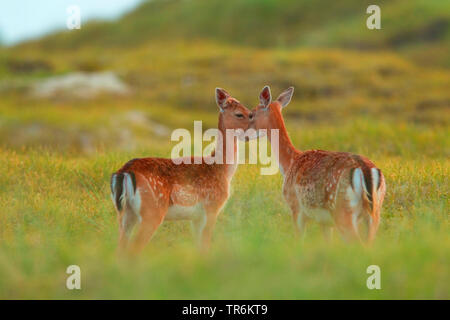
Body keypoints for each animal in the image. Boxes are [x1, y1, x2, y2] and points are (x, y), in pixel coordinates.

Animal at [111, 88, 253, 252]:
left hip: (125, 213)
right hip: (152, 211)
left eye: (250, 111)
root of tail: (124, 172)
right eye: (239, 114)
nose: (253, 132)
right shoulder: (211, 206)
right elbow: (205, 246)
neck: (222, 169)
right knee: (133, 249)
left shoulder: (196, 218)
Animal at [251, 86, 384, 244]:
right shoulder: (324, 222)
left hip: (343, 211)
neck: (289, 163)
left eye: (251, 113)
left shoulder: (295, 207)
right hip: (374, 214)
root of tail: (365, 170)